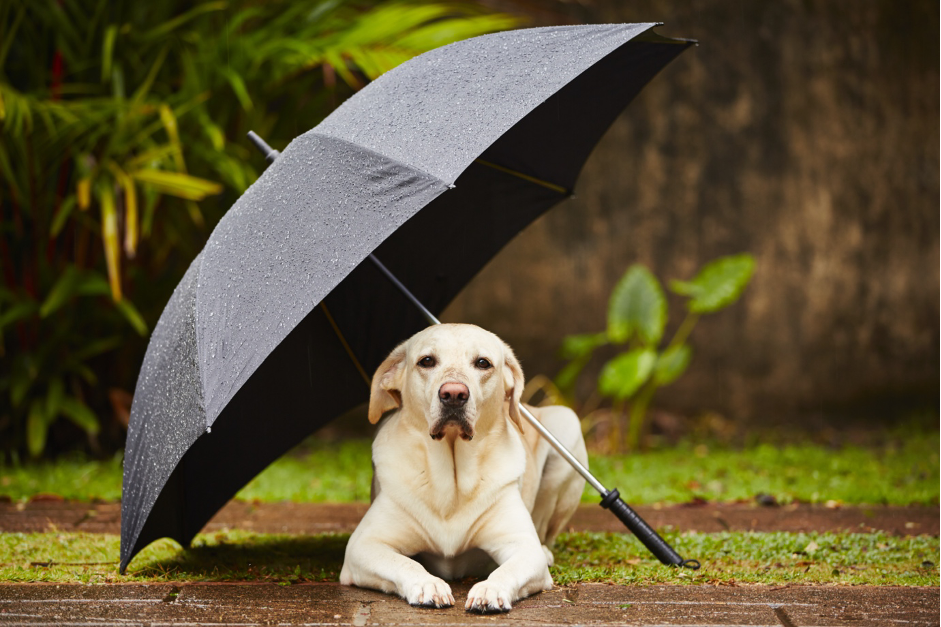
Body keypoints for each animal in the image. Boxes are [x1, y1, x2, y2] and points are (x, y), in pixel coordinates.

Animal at [338, 324, 588, 612]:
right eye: (426, 361)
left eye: (483, 363)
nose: (454, 394)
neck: (452, 478)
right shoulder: (362, 545)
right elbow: (404, 562)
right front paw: (428, 584)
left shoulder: (524, 547)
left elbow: (507, 569)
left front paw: (491, 589)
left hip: (567, 425)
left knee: (545, 533)